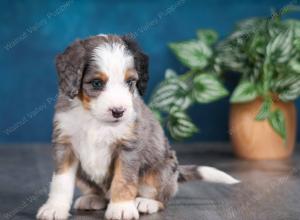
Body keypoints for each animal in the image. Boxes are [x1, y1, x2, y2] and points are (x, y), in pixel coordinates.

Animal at [37, 34, 239, 220]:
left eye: (130, 82)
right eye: (96, 83)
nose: (118, 111)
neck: (94, 118)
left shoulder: (128, 147)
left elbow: (123, 179)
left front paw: (121, 208)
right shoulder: (65, 145)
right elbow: (61, 181)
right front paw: (54, 208)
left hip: (161, 171)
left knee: (162, 198)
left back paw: (146, 203)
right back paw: (93, 198)